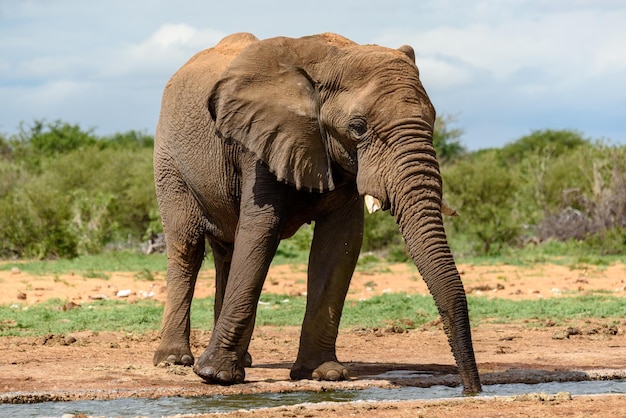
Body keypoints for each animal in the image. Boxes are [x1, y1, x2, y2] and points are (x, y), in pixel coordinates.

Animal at [152, 31, 482, 394]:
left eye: (433, 119)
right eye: (358, 127)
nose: (471, 389)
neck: (331, 58)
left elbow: (339, 245)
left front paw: (323, 373)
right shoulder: (261, 140)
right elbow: (261, 231)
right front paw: (216, 376)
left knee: (227, 252)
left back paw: (244, 359)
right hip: (168, 161)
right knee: (187, 247)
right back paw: (174, 360)